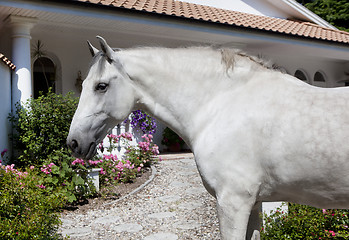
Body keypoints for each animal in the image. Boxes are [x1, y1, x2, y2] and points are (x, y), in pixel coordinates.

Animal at [67, 36, 348, 240]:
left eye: (101, 86)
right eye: (84, 85)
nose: (74, 142)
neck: (221, 104)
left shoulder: (233, 202)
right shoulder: (254, 203)